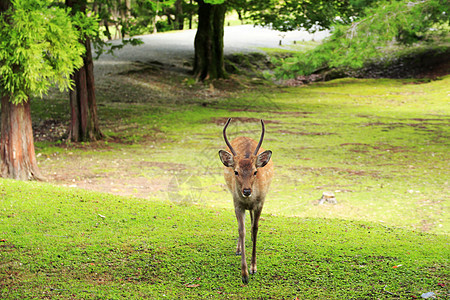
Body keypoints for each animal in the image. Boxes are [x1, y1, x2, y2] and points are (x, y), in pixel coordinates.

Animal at [218, 117, 274, 284]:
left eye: (255, 171)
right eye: (236, 171)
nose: (247, 191)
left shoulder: (261, 202)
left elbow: (255, 228)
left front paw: (253, 267)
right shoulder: (237, 204)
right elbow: (240, 230)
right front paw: (244, 274)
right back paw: (238, 248)